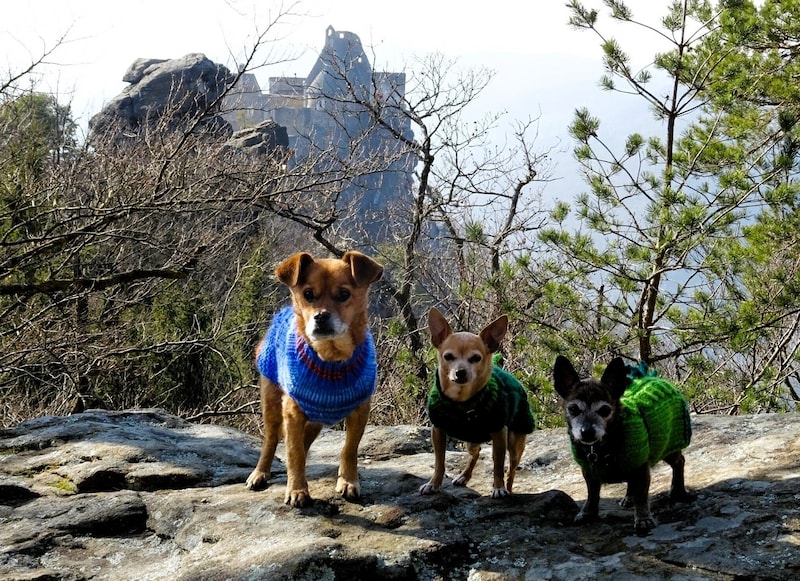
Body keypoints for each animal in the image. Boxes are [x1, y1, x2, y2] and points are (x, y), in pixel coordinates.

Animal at [245, 249, 382, 508]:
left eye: (344, 294)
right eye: (308, 294)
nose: (321, 316)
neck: (331, 358)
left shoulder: (360, 411)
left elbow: (349, 448)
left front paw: (348, 481)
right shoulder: (291, 412)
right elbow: (294, 452)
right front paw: (297, 489)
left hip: (315, 417)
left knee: (304, 440)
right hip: (272, 403)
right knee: (272, 440)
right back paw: (260, 473)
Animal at [418, 306, 536, 496]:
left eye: (476, 358)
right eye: (448, 356)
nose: (460, 372)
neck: (462, 401)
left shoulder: (499, 433)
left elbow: (498, 465)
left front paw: (498, 487)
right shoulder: (438, 430)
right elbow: (439, 462)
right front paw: (433, 484)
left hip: (515, 443)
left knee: (511, 469)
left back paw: (508, 488)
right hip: (471, 442)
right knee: (476, 452)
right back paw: (463, 477)